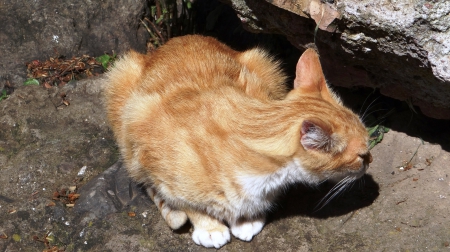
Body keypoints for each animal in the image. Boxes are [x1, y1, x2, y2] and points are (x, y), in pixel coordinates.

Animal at [103, 35, 370, 248]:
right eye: (361, 155)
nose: (370, 160)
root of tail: (176, 39)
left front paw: (247, 218)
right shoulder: (151, 154)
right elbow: (185, 202)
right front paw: (209, 227)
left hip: (262, 62)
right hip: (124, 91)